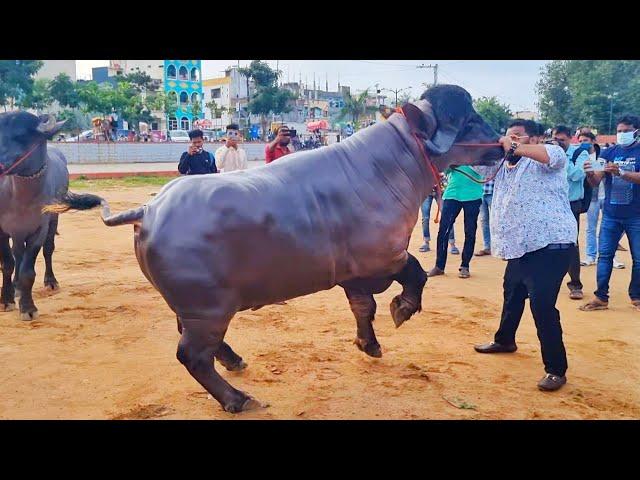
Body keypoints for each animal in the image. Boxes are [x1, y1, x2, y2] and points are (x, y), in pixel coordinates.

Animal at [0, 112, 99, 318]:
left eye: (20, 136)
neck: (19, 197)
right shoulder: (2, 231)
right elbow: (7, 264)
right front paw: (6, 300)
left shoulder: (40, 228)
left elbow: (29, 271)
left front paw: (28, 307)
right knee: (17, 254)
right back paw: (15, 287)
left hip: (52, 221)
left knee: (46, 250)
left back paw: (48, 282)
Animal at [47, 85, 502, 412]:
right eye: (472, 120)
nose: (502, 144)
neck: (387, 168)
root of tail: (149, 209)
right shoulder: (384, 257)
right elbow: (416, 275)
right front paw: (402, 309)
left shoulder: (353, 275)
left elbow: (363, 308)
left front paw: (368, 344)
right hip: (208, 308)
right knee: (191, 355)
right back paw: (237, 399)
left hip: (195, 306)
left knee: (193, 340)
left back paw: (234, 361)